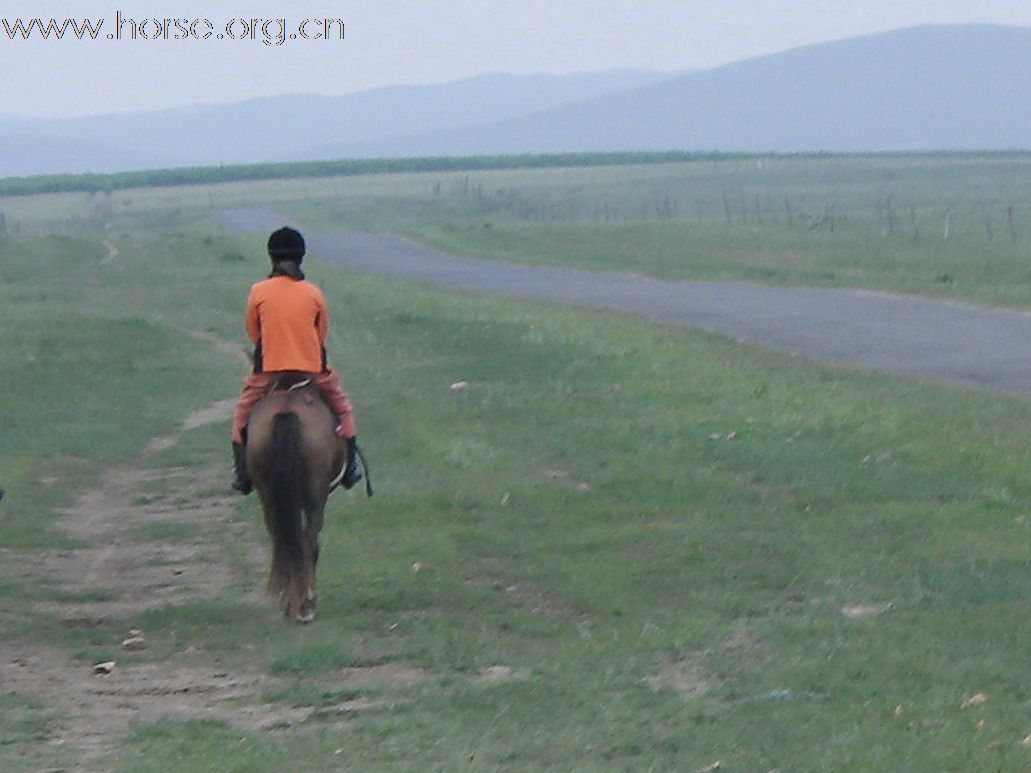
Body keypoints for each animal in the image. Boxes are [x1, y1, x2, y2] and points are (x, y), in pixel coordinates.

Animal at [245, 373, 346, 622]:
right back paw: (304, 603)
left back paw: (292, 601)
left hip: (268, 493)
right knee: (307, 541)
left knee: (283, 537)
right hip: (315, 495)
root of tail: (287, 411)